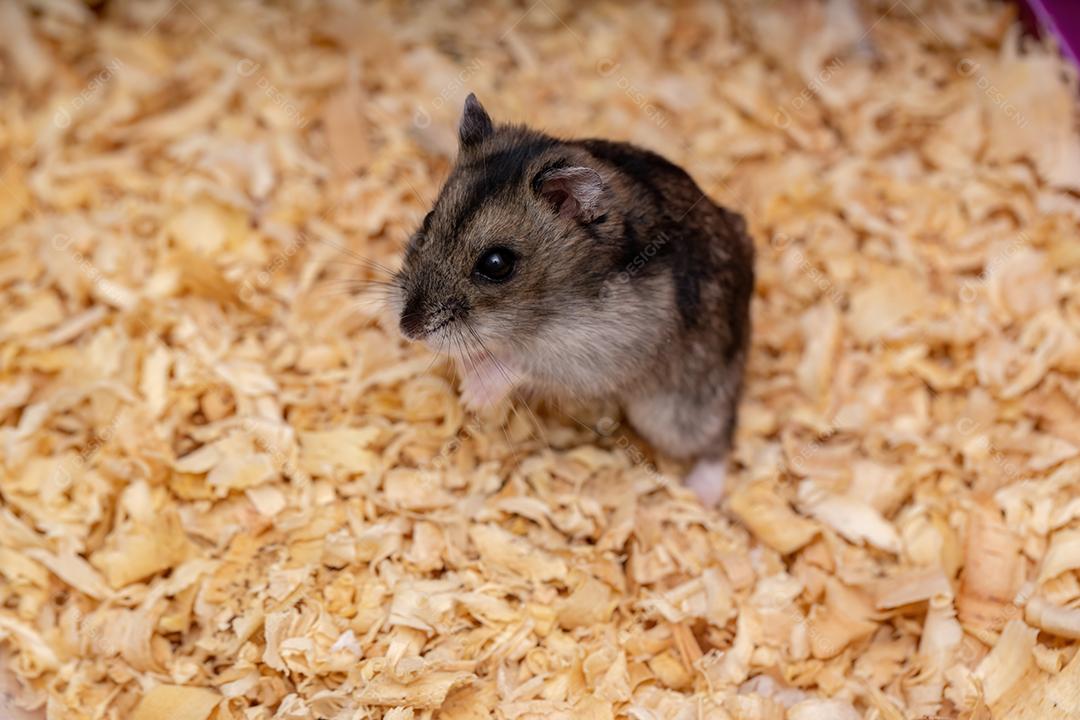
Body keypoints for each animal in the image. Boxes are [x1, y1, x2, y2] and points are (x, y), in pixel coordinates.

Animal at [391, 94, 754, 505]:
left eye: (496, 264)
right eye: (427, 219)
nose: (407, 330)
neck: (553, 304)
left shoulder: (598, 349)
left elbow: (521, 362)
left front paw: (473, 395)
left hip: (679, 409)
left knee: (719, 436)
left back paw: (701, 496)